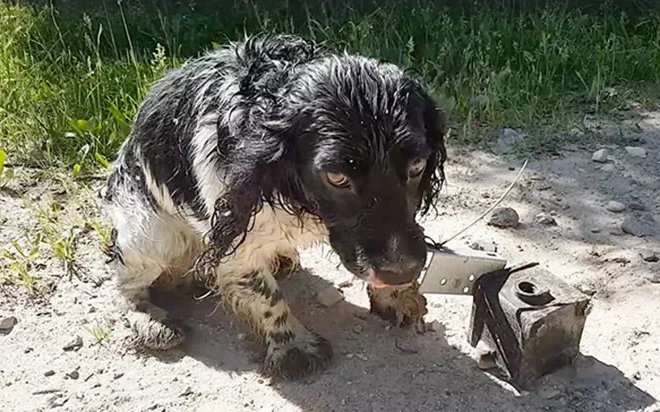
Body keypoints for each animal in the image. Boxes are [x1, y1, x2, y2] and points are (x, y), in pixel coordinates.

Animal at [103, 33, 446, 382]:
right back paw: (151, 321)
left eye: (417, 165)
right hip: (150, 235)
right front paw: (293, 346)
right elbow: (264, 293)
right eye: (336, 177)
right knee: (124, 285)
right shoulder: (234, 238)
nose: (401, 270)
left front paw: (398, 296)